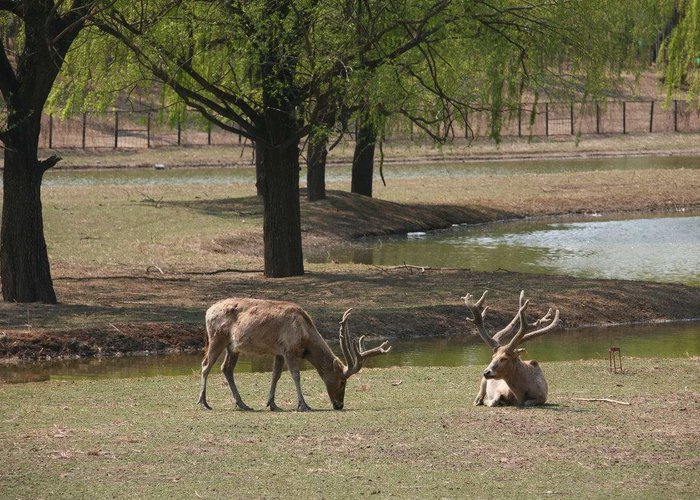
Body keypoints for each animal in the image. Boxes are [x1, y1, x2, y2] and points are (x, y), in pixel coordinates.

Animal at [197, 298, 391, 412]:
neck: (305, 339)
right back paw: (203, 402)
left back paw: (243, 404)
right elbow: (295, 375)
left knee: (226, 369)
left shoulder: (279, 352)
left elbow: (275, 375)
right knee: (206, 364)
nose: (339, 405)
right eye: (343, 381)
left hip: (233, 346)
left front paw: (273, 404)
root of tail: (207, 312)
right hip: (217, 337)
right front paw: (303, 405)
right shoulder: (289, 349)